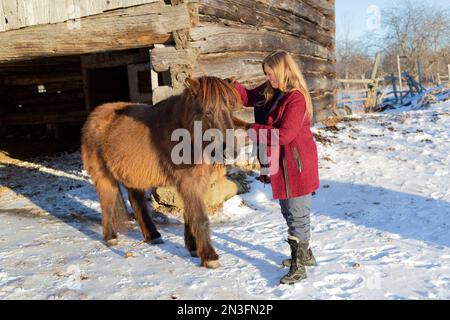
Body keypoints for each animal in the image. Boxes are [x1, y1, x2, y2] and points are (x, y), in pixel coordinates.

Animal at [82, 77, 248, 268]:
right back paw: (110, 237)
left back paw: (153, 235)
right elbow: (200, 217)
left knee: (136, 201)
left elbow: (189, 214)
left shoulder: (197, 182)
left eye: (231, 108)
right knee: (107, 203)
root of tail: (94, 116)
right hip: (104, 176)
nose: (230, 151)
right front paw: (209, 256)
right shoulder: (189, 182)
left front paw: (193, 247)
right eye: (207, 112)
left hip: (133, 175)